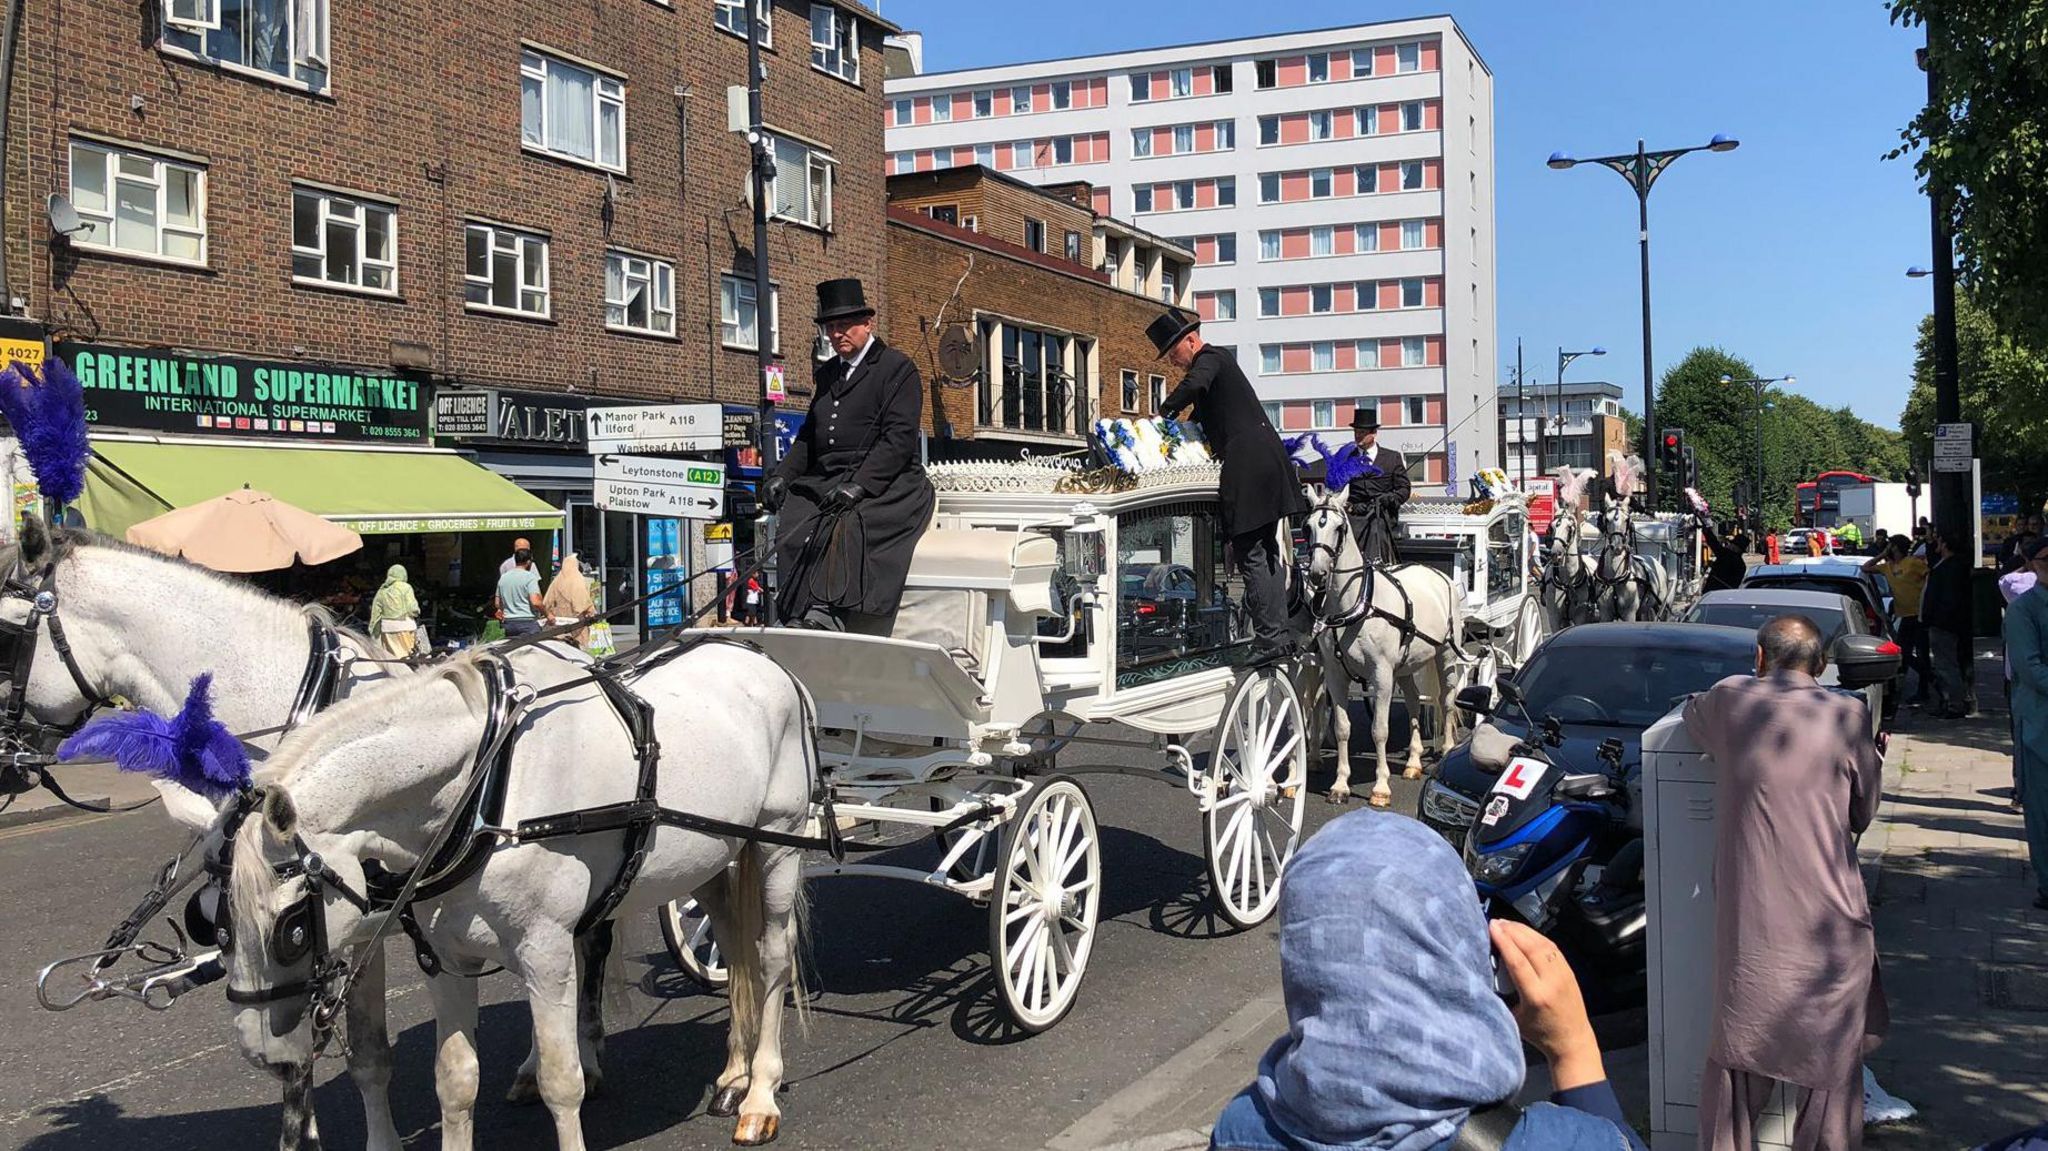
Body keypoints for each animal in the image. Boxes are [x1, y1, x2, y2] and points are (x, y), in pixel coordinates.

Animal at [216, 647, 806, 1146]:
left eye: (292, 928)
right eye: (218, 925)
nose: (262, 1053)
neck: (485, 786)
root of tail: (765, 660)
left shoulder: (544, 951)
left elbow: (561, 1082)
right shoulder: (446, 956)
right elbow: (454, 1081)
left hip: (779, 842)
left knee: (773, 958)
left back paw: (759, 1095)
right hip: (710, 858)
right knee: (734, 947)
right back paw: (733, 1075)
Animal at [1302, 479, 1466, 802]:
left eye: (1339, 528)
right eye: (1309, 526)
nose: (1316, 573)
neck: (1357, 604)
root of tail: (1437, 574)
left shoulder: (1381, 674)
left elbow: (1379, 730)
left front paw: (1380, 786)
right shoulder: (1336, 674)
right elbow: (1342, 728)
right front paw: (1340, 784)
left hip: (1445, 655)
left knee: (1447, 699)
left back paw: (1447, 749)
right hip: (1403, 666)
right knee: (1414, 701)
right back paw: (1413, 762)